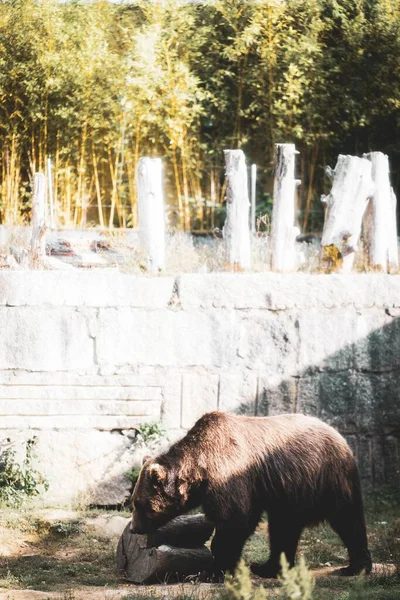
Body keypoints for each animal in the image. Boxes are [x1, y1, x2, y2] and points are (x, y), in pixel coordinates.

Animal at [131, 412, 372, 576]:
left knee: (347, 519)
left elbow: (234, 521)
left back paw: (355, 567)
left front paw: (214, 570)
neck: (200, 469)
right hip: (289, 493)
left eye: (139, 504)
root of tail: (340, 435)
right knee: (283, 528)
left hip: (327, 478)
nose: (134, 528)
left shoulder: (231, 476)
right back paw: (268, 567)